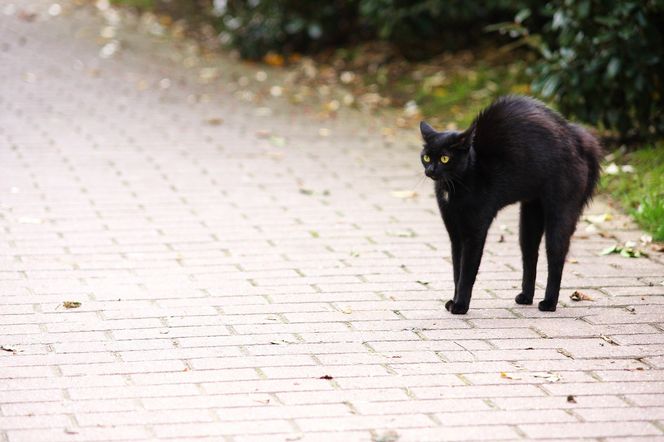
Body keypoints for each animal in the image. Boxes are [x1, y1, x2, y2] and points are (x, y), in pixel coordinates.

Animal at [420, 95, 600, 312]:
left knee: (556, 257)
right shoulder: (455, 234)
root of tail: (578, 139)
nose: (430, 170)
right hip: (530, 216)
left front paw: (461, 305)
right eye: (426, 157)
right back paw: (526, 297)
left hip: (561, 211)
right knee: (530, 256)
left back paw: (549, 303)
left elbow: (467, 271)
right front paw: (454, 301)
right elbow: (457, 269)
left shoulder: (474, 232)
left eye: (445, 158)